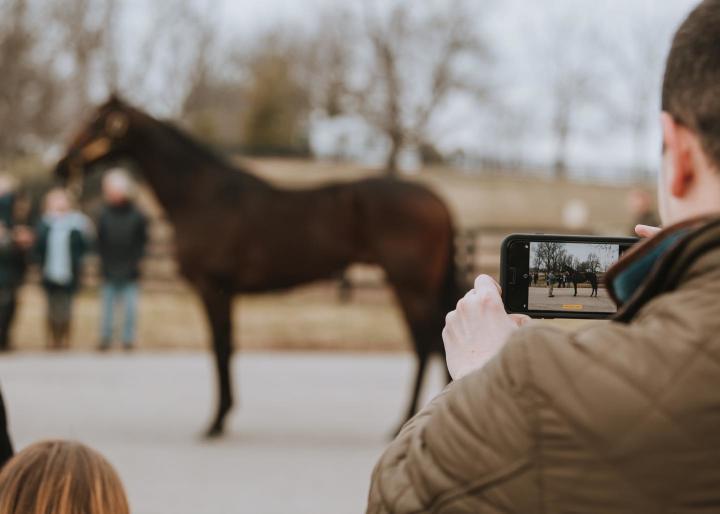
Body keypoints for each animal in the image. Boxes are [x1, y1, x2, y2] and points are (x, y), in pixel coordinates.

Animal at [54, 95, 462, 432]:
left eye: (96, 123)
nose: (60, 165)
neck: (201, 195)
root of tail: (438, 201)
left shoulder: (213, 288)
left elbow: (220, 347)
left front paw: (216, 423)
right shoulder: (224, 292)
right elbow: (228, 346)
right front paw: (224, 414)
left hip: (410, 287)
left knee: (425, 344)